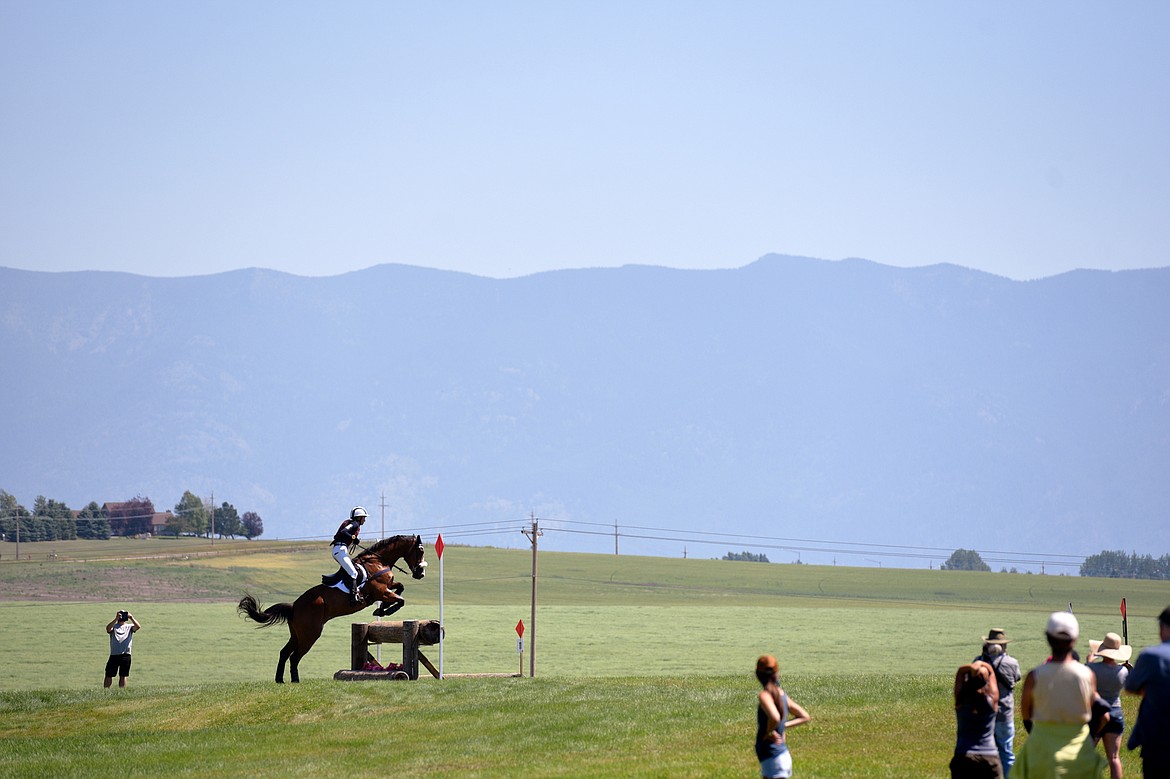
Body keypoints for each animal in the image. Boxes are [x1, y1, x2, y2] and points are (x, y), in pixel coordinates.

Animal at [235, 533, 428, 678]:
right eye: (420, 550)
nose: (420, 573)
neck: (377, 561)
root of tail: (294, 607)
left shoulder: (386, 589)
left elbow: (400, 588)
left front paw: (381, 609)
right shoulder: (380, 591)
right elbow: (400, 600)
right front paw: (384, 610)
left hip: (297, 634)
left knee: (284, 653)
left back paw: (280, 680)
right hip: (311, 634)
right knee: (294, 657)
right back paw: (295, 681)